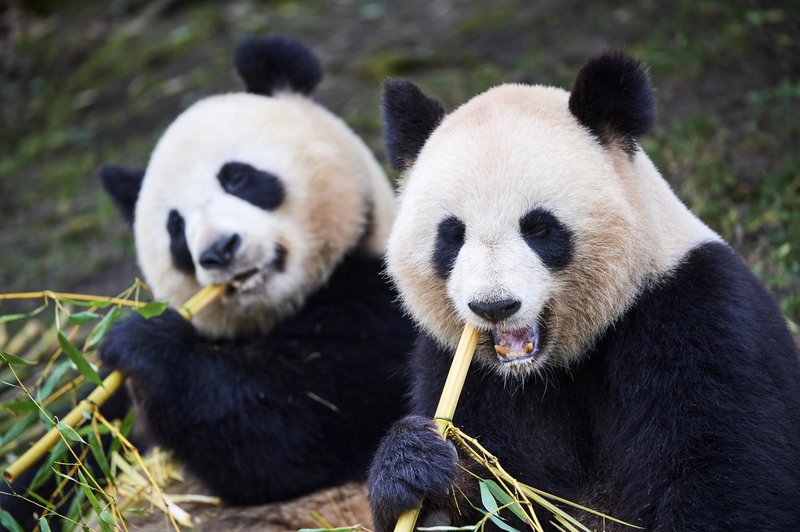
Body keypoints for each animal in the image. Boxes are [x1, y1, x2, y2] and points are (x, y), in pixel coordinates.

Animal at [94, 36, 416, 508]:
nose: (219, 250)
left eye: (238, 178)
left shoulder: (383, 315)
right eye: (175, 227)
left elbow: (298, 424)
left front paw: (142, 340)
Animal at [368, 51, 800, 532]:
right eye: (452, 235)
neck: (548, 368)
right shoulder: (462, 369)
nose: (495, 306)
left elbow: (724, 476)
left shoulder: (695, 315)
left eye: (539, 228)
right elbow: (497, 493)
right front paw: (416, 468)